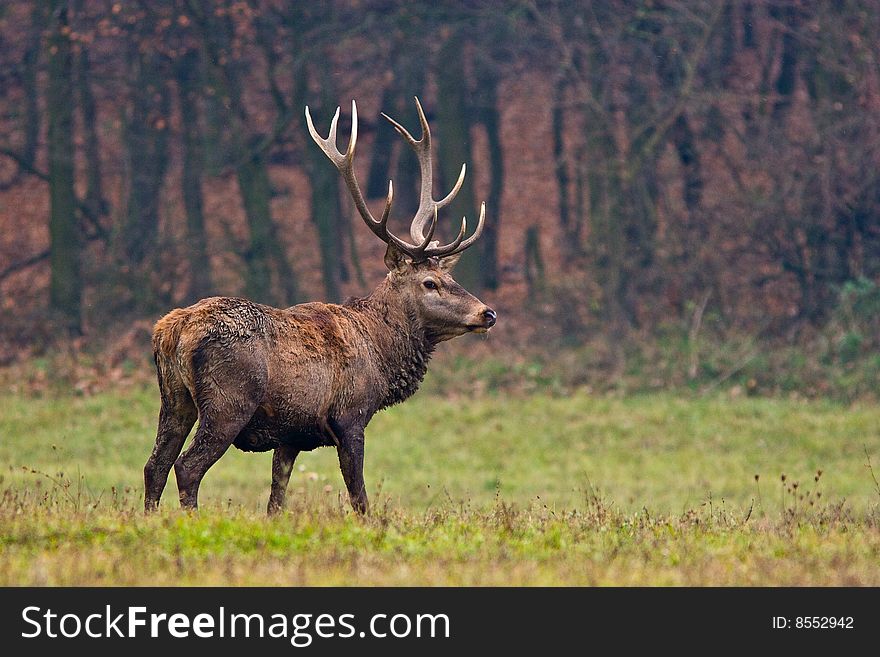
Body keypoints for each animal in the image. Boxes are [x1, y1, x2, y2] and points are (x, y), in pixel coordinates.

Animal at [141, 97, 492, 516]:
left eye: (449, 277)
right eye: (430, 283)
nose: (487, 313)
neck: (380, 356)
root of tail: (171, 331)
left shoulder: (291, 434)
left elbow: (276, 500)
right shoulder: (349, 416)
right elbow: (359, 497)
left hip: (174, 399)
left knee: (155, 465)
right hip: (228, 401)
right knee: (186, 466)